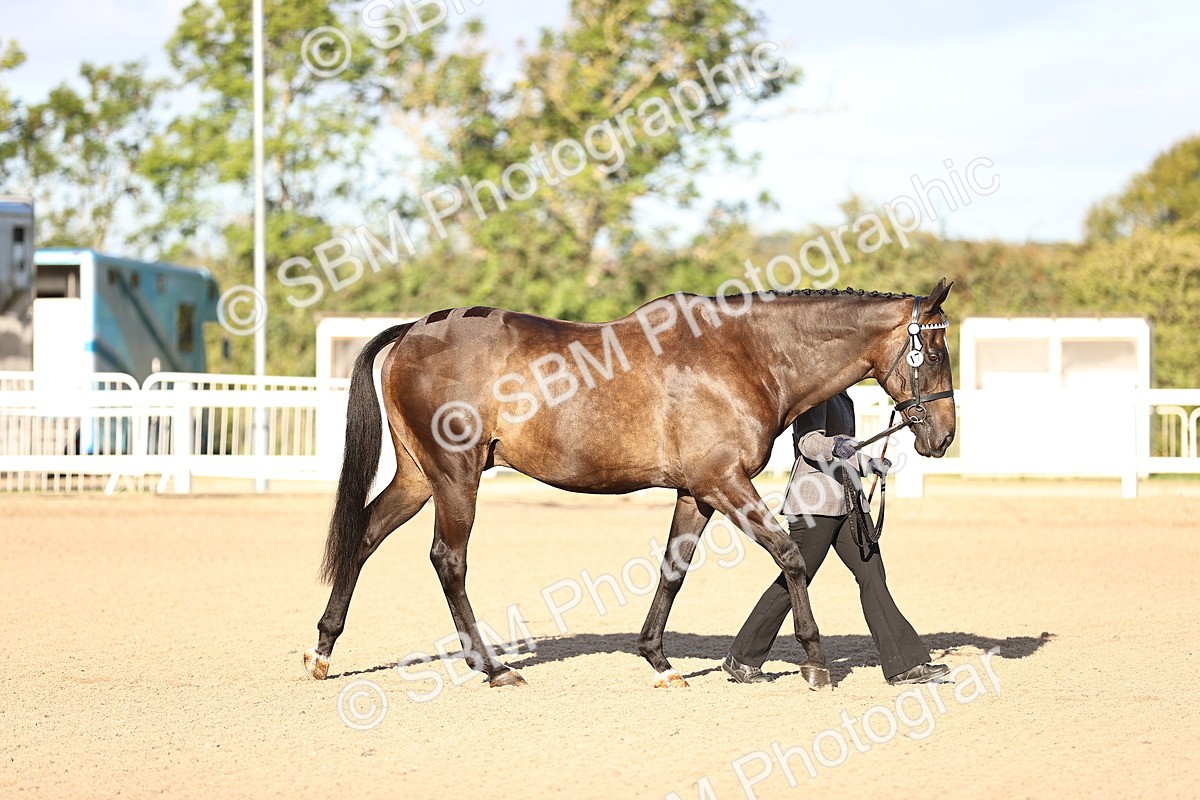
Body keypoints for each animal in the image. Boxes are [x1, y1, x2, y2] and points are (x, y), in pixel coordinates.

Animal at [303, 278, 956, 691]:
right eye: (932, 353)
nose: (944, 435)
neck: (745, 354)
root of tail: (414, 330)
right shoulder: (726, 483)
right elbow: (792, 556)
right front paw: (816, 663)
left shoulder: (698, 492)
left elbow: (673, 569)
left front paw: (659, 660)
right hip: (456, 477)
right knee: (448, 560)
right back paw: (492, 668)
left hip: (419, 477)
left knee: (365, 534)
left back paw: (322, 651)